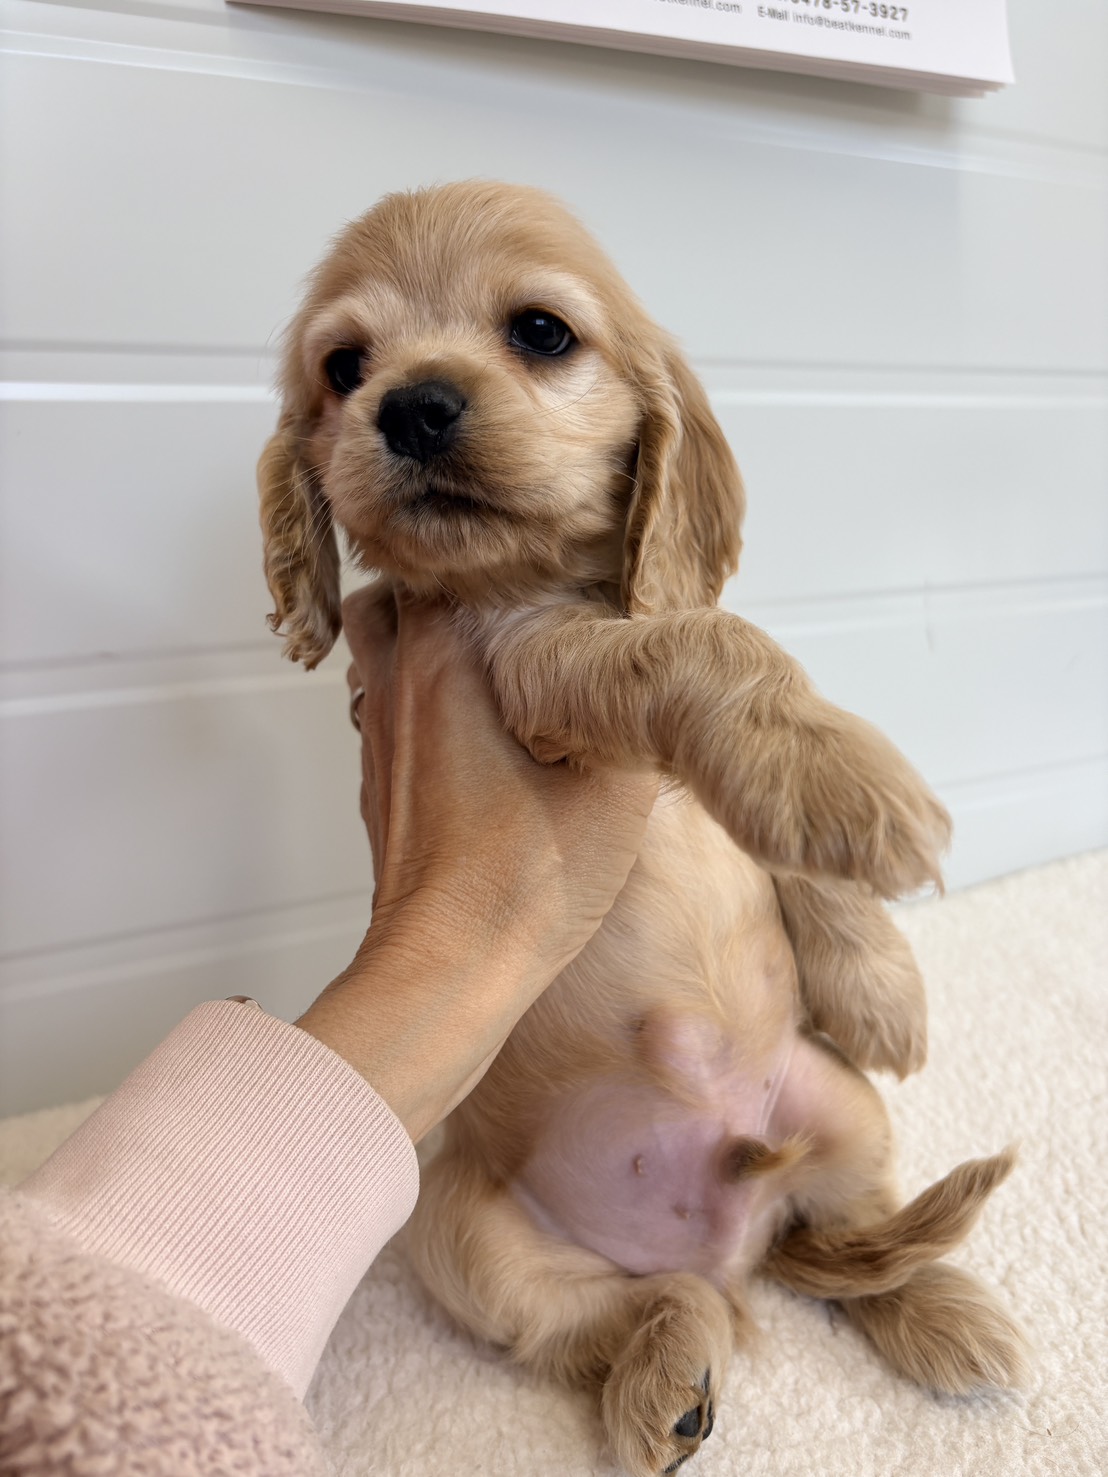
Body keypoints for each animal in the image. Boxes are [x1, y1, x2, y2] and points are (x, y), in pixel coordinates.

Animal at [258, 181, 1025, 1476]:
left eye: (541, 332)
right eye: (344, 366)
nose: (409, 403)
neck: (551, 586)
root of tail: (718, 1232)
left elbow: (779, 840)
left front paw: (880, 979)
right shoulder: (530, 666)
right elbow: (706, 642)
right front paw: (838, 776)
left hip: (840, 1108)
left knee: (841, 1240)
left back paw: (944, 1312)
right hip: (454, 1233)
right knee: (630, 1311)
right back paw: (667, 1373)